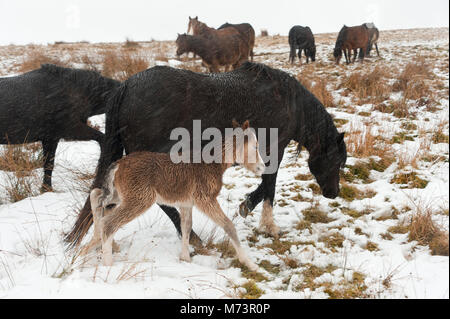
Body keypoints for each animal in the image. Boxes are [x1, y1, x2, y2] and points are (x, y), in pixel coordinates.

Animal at [65, 60, 346, 250]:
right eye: (338, 161)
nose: (333, 193)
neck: (288, 102)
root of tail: (126, 86)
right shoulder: (273, 150)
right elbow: (269, 187)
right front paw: (265, 221)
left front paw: (251, 209)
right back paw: (194, 239)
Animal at [81, 121, 266, 272]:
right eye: (256, 147)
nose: (262, 167)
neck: (213, 164)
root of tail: (119, 164)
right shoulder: (205, 199)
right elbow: (228, 226)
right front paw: (250, 264)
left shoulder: (186, 203)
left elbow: (186, 226)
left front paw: (185, 258)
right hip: (140, 199)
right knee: (109, 223)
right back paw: (108, 264)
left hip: (122, 195)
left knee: (96, 196)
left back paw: (93, 243)